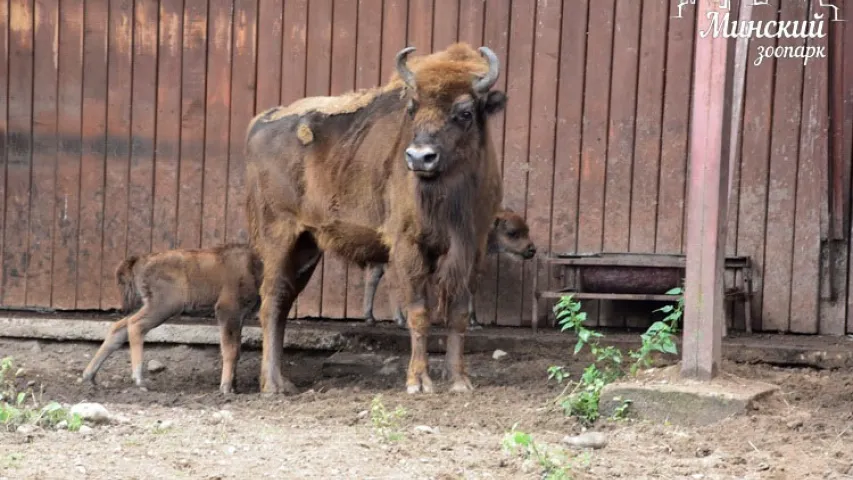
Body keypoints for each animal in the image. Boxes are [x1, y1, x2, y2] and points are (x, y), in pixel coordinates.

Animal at [83, 244, 264, 394]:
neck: (255, 265)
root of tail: (141, 259)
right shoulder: (227, 311)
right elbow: (230, 350)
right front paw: (226, 388)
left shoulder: (239, 317)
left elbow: (237, 349)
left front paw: (234, 387)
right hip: (163, 307)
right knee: (135, 325)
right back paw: (139, 381)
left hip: (148, 305)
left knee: (119, 327)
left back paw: (88, 376)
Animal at [243, 42, 502, 394]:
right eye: (412, 108)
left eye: (465, 112)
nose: (419, 157)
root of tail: (260, 122)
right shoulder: (408, 246)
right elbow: (419, 312)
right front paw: (419, 382)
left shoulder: (472, 249)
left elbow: (458, 314)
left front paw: (459, 380)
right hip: (278, 236)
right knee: (270, 302)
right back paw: (271, 386)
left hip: (306, 247)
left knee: (283, 301)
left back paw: (284, 381)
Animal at [362, 208, 536, 328]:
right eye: (512, 233)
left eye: (527, 229)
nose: (532, 249)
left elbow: (469, 289)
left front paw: (471, 320)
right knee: (392, 282)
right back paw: (400, 320)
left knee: (373, 278)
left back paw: (370, 318)